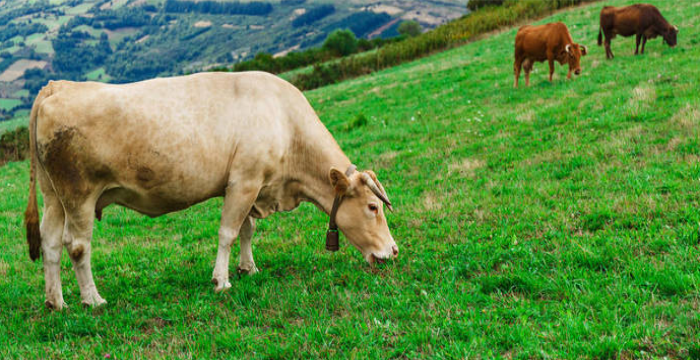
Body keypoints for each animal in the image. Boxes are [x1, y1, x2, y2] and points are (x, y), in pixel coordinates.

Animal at [26, 72, 400, 310]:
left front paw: (248, 268)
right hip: (79, 195)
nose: (394, 251)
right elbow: (228, 232)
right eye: (373, 207)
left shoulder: (250, 186)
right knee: (77, 246)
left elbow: (248, 229)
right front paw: (222, 281)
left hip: (54, 196)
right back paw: (92, 299)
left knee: (50, 243)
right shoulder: (244, 181)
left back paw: (56, 301)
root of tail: (57, 87)